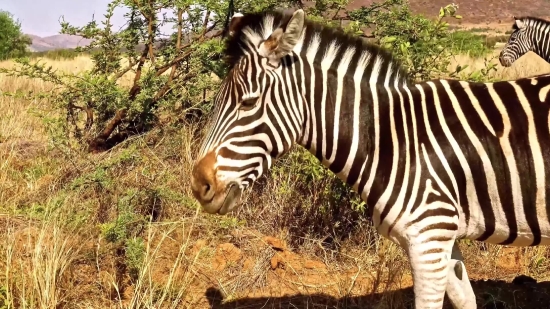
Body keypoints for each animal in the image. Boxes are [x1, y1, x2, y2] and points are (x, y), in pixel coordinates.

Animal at [191, 9, 550, 308]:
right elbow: (464, 299)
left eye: (248, 103)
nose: (198, 184)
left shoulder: (429, 237)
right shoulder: (444, 236)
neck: (393, 138)